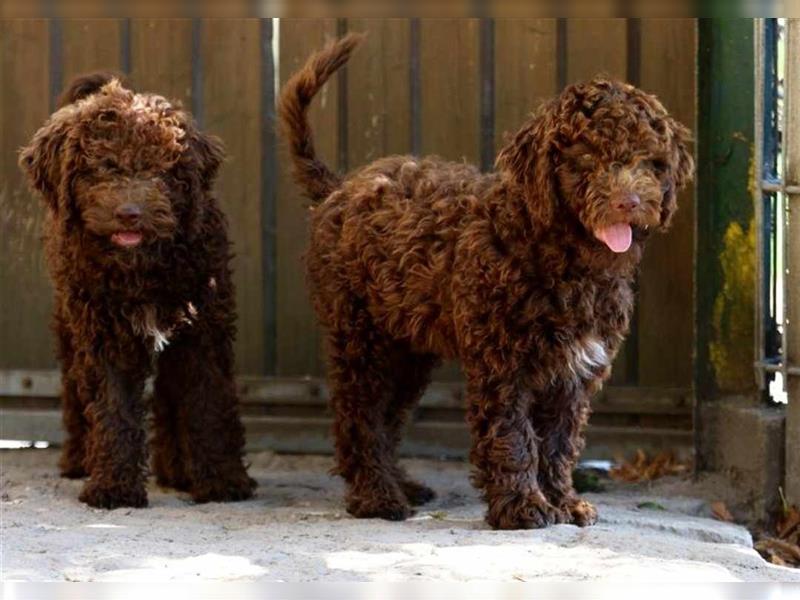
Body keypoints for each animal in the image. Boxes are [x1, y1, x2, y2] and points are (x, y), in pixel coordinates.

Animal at [18, 72, 255, 508]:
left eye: (160, 169)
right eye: (102, 167)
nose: (130, 213)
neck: (140, 269)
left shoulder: (202, 327)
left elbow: (208, 401)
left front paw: (222, 481)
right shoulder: (102, 333)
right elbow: (112, 407)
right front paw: (113, 485)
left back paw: (177, 470)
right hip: (68, 322)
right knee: (74, 390)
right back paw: (78, 459)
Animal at [282, 34, 692, 528]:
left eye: (648, 160)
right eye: (586, 158)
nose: (628, 201)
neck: (558, 254)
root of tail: (339, 187)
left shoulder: (572, 374)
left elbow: (558, 443)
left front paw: (563, 501)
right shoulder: (503, 362)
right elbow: (512, 436)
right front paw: (524, 507)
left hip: (406, 349)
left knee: (388, 417)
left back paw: (402, 483)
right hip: (360, 335)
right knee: (358, 416)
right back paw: (376, 496)